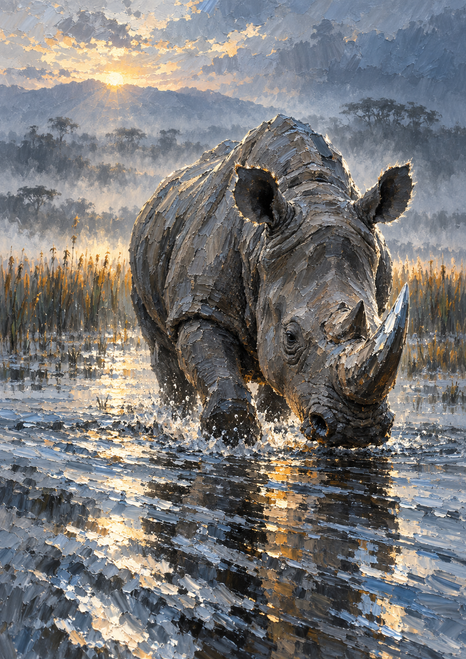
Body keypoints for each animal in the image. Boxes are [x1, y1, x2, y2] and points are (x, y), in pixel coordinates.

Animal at [130, 115, 412, 447]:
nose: (356, 431)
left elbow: (281, 387)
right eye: (290, 337)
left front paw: (274, 435)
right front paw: (230, 443)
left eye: (377, 324)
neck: (311, 191)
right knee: (165, 361)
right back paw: (173, 423)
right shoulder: (200, 307)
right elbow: (221, 382)